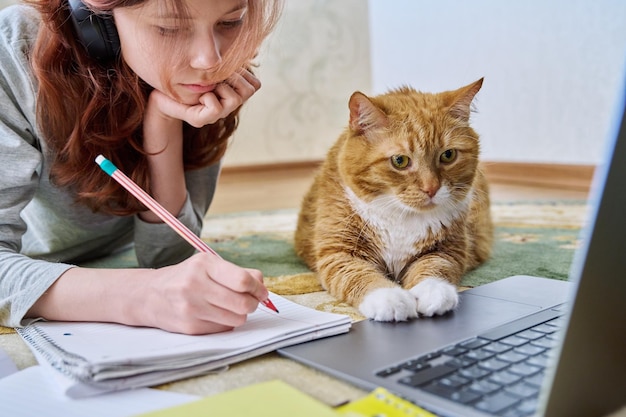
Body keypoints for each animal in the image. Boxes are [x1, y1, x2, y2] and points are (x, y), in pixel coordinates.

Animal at [292, 79, 492, 322]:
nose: (431, 188)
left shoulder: (449, 249)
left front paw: (434, 292)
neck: (400, 216)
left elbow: (436, 267)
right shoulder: (338, 253)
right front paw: (390, 298)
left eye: (448, 155)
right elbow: (360, 275)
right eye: (400, 161)